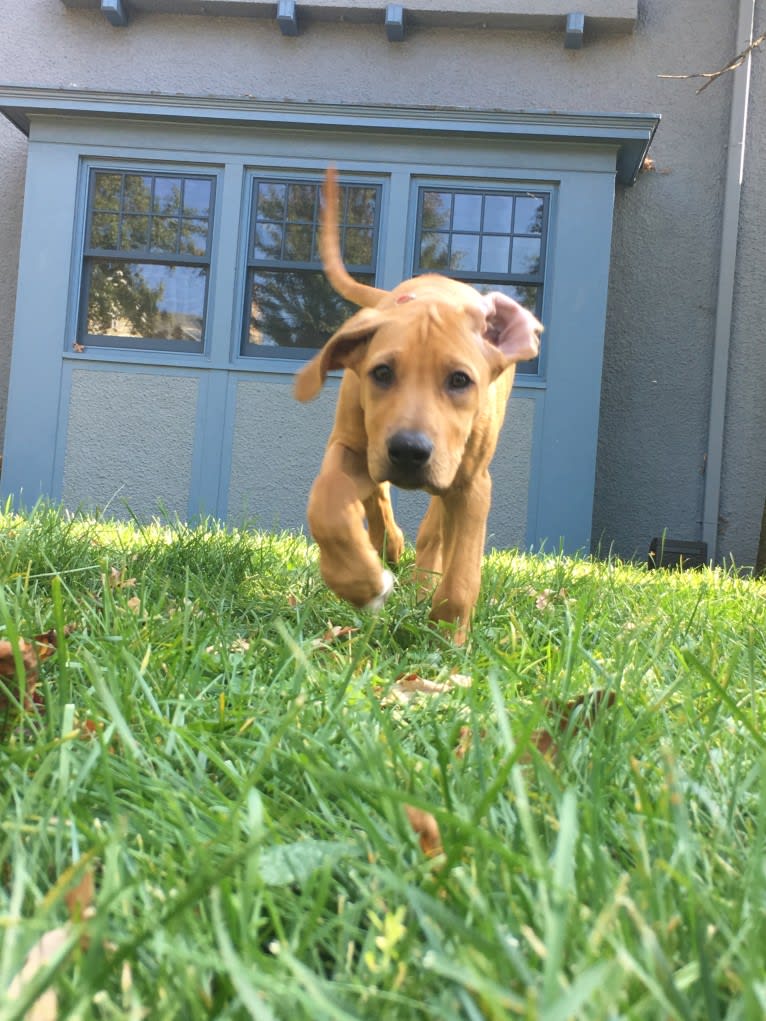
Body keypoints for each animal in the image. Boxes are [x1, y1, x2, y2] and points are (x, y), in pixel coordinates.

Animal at [294, 171, 539, 641]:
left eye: (460, 380)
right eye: (381, 373)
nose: (408, 451)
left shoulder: (472, 484)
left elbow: (462, 574)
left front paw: (448, 633)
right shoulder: (350, 447)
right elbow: (327, 505)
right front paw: (360, 581)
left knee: (433, 532)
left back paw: (421, 580)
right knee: (380, 499)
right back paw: (386, 547)